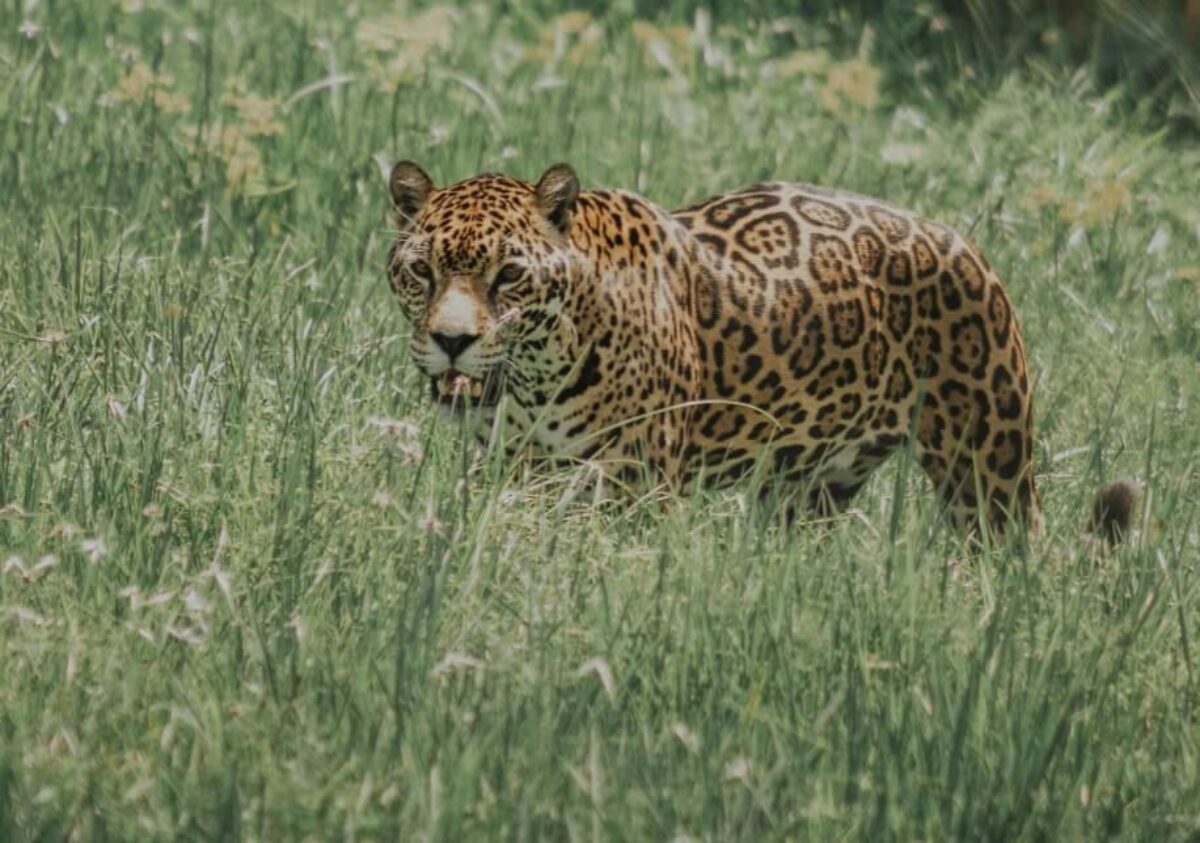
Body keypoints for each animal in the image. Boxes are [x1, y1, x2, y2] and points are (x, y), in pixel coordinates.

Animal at [385, 161, 1101, 539]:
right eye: (423, 271)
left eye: (509, 275)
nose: (453, 341)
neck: (538, 376)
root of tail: (967, 243)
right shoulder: (520, 473)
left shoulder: (635, 490)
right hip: (809, 491)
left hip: (988, 470)